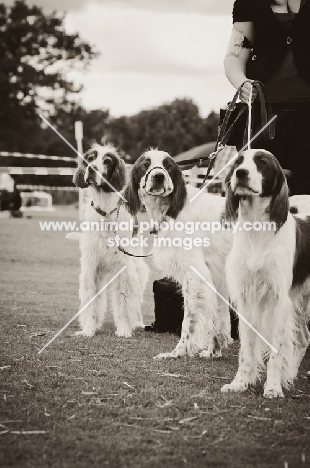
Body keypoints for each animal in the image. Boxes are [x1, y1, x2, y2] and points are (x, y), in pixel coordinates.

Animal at [123, 149, 232, 358]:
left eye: (168, 165)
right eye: (145, 164)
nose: (158, 176)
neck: (172, 210)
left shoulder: (196, 277)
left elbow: (188, 322)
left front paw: (179, 352)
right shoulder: (217, 278)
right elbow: (218, 319)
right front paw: (213, 352)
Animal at [222, 150, 308, 398]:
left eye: (262, 163)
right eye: (238, 161)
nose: (241, 173)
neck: (257, 230)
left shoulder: (279, 300)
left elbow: (276, 351)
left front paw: (273, 387)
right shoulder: (246, 297)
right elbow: (246, 349)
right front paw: (240, 383)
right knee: (304, 338)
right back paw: (291, 375)